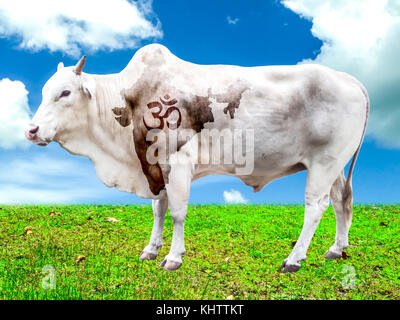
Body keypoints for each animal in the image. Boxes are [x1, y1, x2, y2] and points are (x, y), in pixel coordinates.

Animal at [24, 43, 368, 274]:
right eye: (44, 92)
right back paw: (337, 248)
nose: (31, 130)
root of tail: (351, 79)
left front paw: (173, 257)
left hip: (324, 163)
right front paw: (151, 248)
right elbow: (158, 209)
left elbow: (177, 212)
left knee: (316, 206)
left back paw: (294, 259)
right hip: (334, 166)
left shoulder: (177, 162)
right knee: (341, 200)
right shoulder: (154, 167)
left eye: (65, 93)